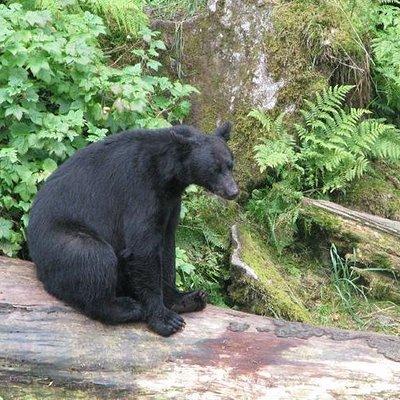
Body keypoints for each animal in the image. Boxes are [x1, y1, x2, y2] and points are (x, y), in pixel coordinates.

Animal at [28, 123, 241, 336]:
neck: (166, 174)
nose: (233, 191)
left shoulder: (170, 202)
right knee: (95, 258)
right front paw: (166, 319)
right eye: (214, 169)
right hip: (63, 240)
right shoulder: (140, 190)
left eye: (230, 165)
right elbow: (142, 248)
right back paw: (127, 307)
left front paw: (182, 299)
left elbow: (167, 246)